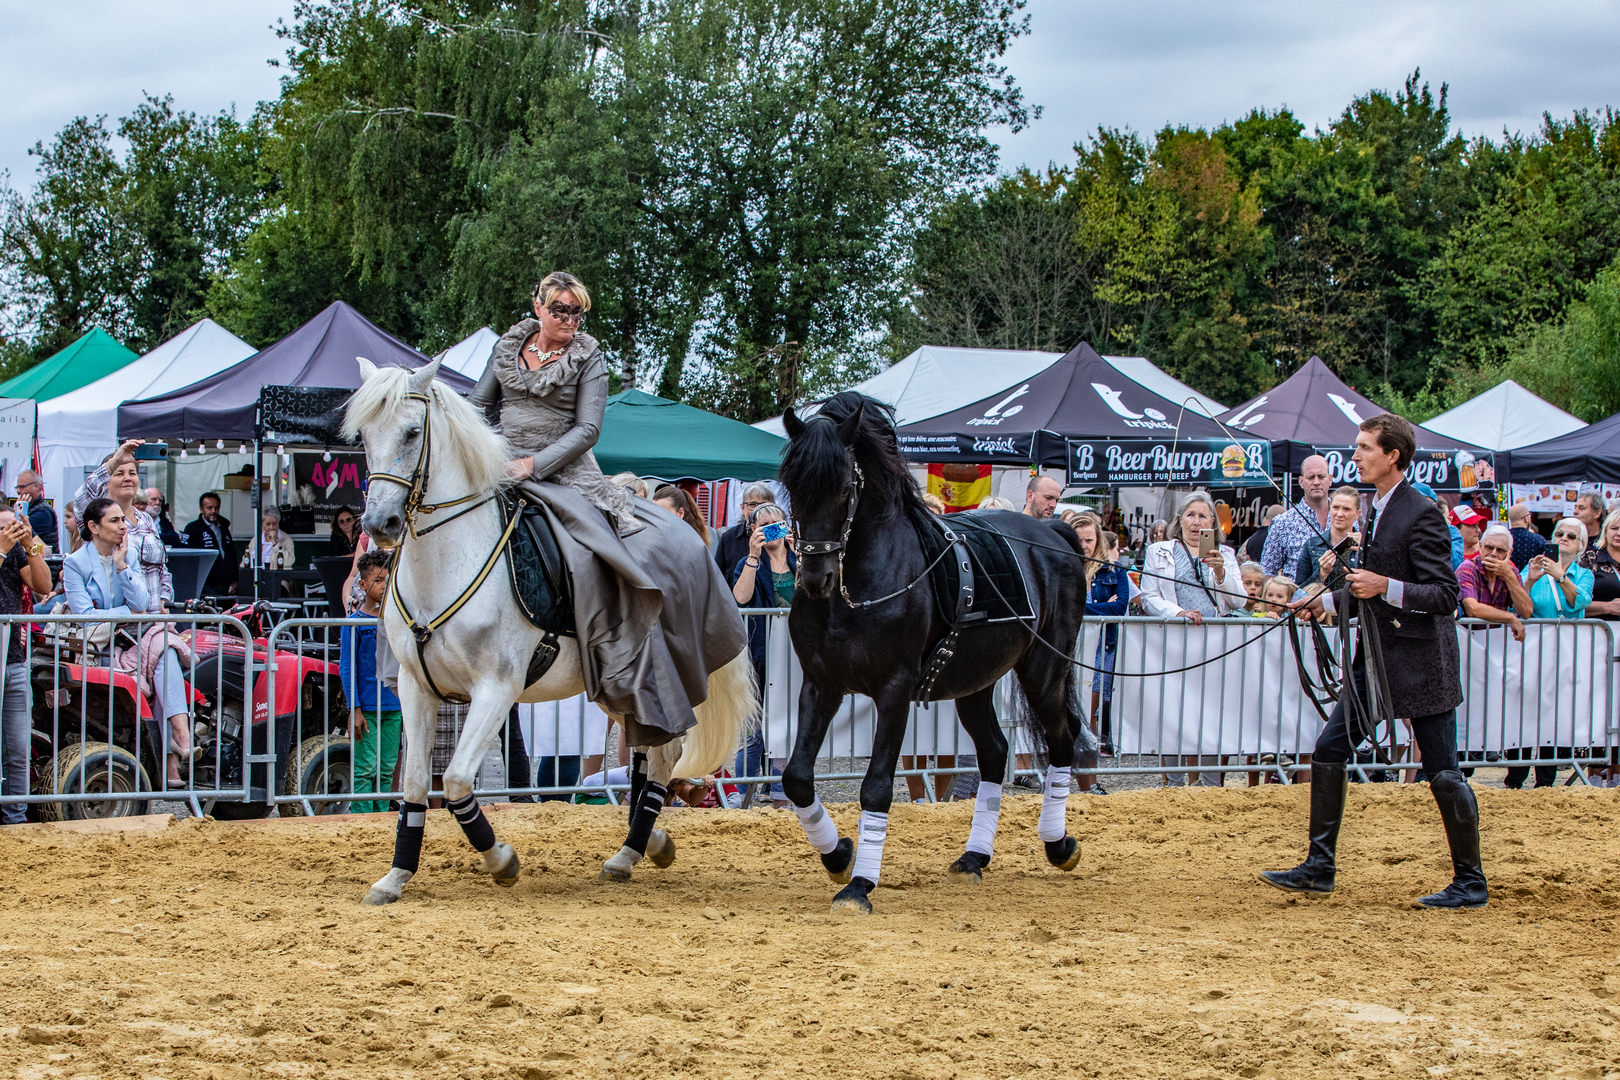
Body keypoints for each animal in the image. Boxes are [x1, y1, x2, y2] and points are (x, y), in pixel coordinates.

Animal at [344, 358, 756, 905]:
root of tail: (690, 535)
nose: (380, 523)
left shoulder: (496, 689)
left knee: (663, 754)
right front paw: (395, 876)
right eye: (365, 436)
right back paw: (645, 843)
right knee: (648, 754)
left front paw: (501, 860)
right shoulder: (415, 687)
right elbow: (414, 785)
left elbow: (455, 781)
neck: (447, 561)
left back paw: (632, 850)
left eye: (413, 432)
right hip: (617, 686)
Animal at [777, 392, 1091, 914]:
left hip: (1044, 670)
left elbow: (876, 787)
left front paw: (858, 886)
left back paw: (1059, 845)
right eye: (791, 487)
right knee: (994, 752)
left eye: (843, 489)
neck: (853, 592)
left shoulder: (894, 690)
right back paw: (974, 857)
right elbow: (797, 777)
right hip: (975, 682)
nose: (816, 579)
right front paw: (839, 854)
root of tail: (1053, 534)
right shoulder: (820, 686)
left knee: (1062, 741)